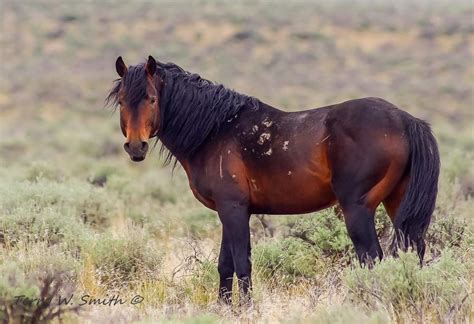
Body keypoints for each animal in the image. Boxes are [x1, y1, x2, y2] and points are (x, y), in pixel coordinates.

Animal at [107, 54, 440, 306]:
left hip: (357, 209)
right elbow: (225, 265)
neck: (215, 130)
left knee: (372, 257)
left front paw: (246, 309)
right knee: (412, 252)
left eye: (151, 99)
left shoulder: (233, 209)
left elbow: (242, 263)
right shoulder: (231, 211)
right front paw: (224, 308)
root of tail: (405, 120)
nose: (136, 147)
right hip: (396, 203)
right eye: (121, 101)